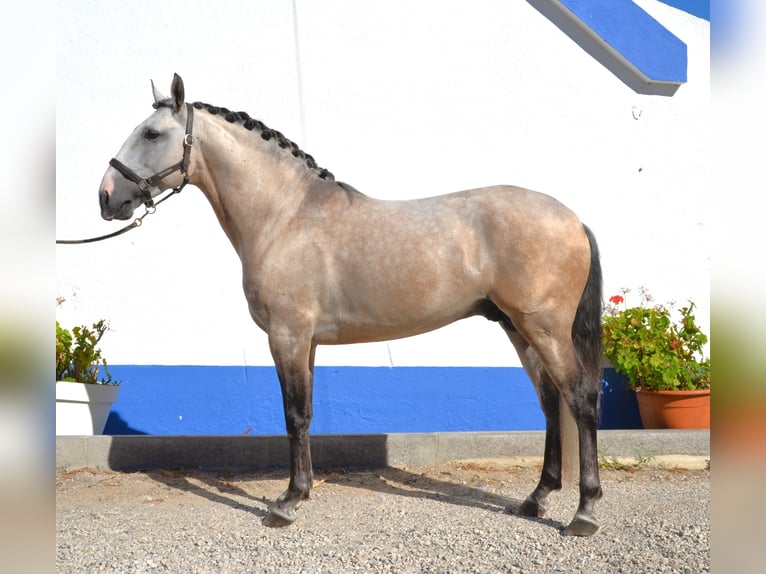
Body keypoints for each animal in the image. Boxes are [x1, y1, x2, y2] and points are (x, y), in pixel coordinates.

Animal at [97, 74, 608, 536]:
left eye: (151, 133)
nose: (106, 196)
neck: (286, 216)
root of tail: (573, 219)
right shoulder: (306, 342)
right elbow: (305, 414)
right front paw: (300, 492)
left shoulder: (287, 336)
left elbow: (294, 414)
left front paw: (286, 504)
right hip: (518, 328)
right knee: (550, 402)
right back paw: (537, 498)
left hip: (542, 328)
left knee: (580, 398)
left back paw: (584, 513)